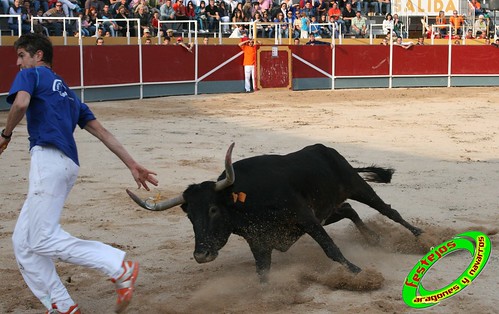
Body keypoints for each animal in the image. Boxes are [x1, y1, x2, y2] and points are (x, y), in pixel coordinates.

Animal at [126, 144, 422, 280]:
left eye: (212, 209)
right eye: (189, 216)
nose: (201, 255)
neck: (247, 201)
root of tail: (325, 149)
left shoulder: (307, 220)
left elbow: (331, 250)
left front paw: (357, 272)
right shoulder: (261, 241)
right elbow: (262, 272)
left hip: (356, 186)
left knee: (389, 211)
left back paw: (419, 236)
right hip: (327, 210)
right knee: (349, 210)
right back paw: (374, 239)